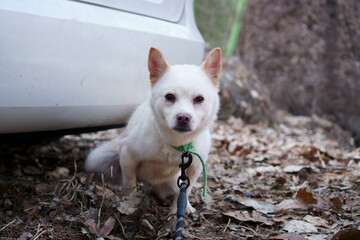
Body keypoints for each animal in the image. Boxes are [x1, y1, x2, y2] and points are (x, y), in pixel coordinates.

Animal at [86, 47, 222, 214]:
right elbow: (130, 183)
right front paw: (130, 201)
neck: (175, 142)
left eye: (199, 99)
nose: (183, 117)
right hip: (97, 158)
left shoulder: (193, 169)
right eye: (169, 96)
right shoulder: (127, 155)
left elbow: (184, 191)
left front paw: (177, 210)